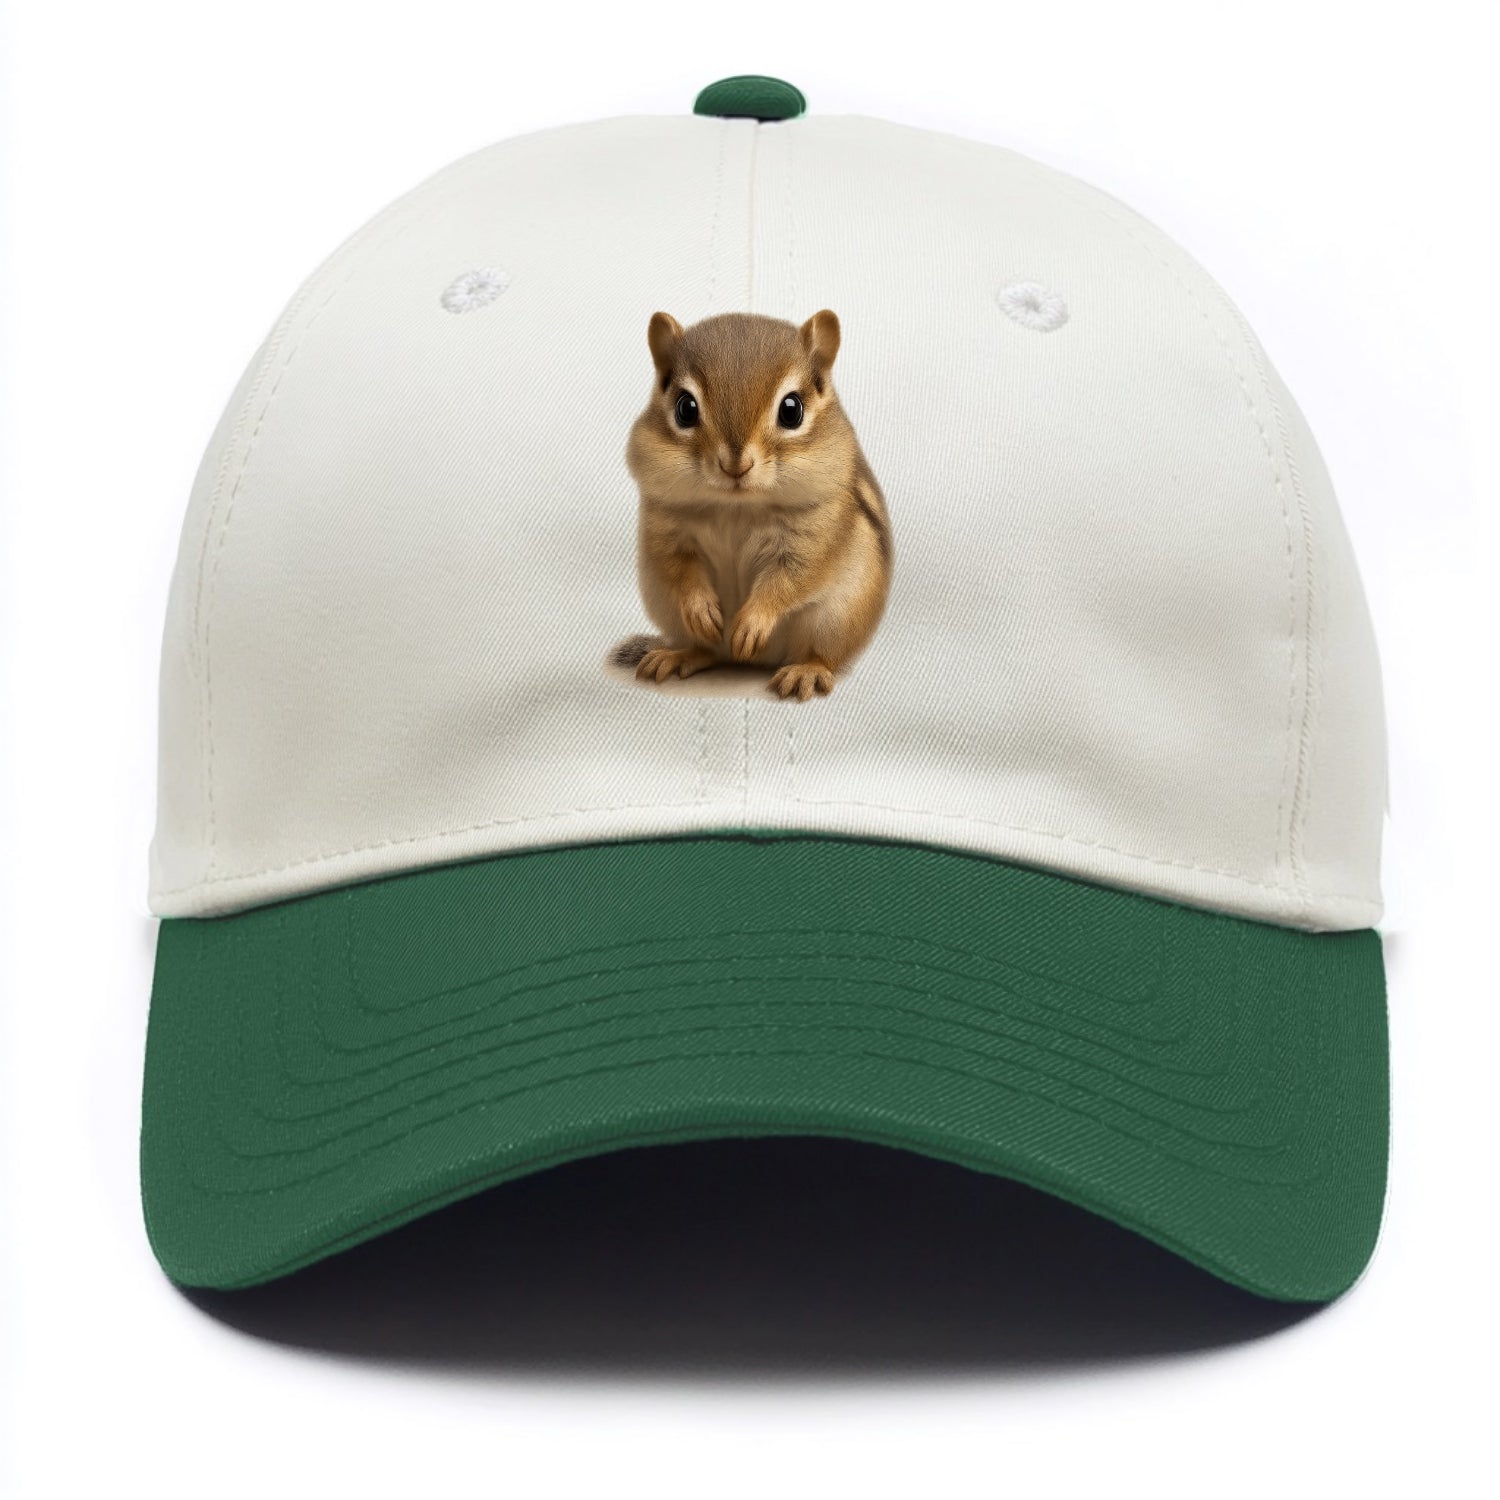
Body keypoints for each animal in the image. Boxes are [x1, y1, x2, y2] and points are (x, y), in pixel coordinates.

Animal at [613, 309, 892, 701]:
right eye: (685, 408)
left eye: (792, 410)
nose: (736, 465)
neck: (736, 505)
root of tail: (751, 662)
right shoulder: (666, 530)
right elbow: (679, 568)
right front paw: (702, 609)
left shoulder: (812, 538)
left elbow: (790, 580)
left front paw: (752, 623)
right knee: (706, 650)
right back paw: (677, 655)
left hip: (836, 616)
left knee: (822, 654)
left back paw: (805, 671)